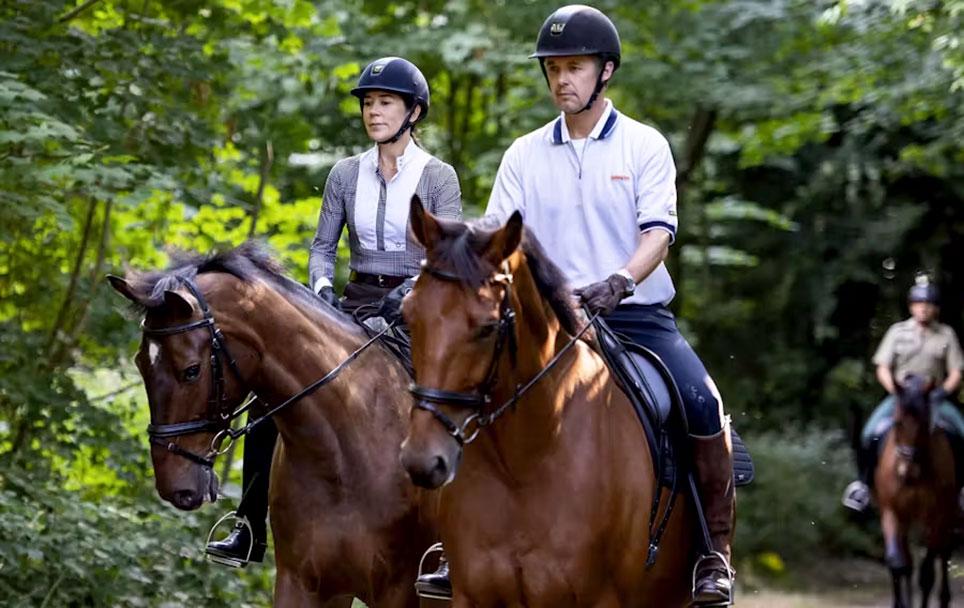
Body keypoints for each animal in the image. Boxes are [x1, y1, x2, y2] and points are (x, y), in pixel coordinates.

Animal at [872, 376, 956, 608]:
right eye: (897, 423)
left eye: (924, 424)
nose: (905, 471)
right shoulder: (892, 511)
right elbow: (897, 563)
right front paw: (900, 604)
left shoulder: (936, 517)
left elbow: (926, 574)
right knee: (909, 563)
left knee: (943, 554)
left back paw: (944, 598)